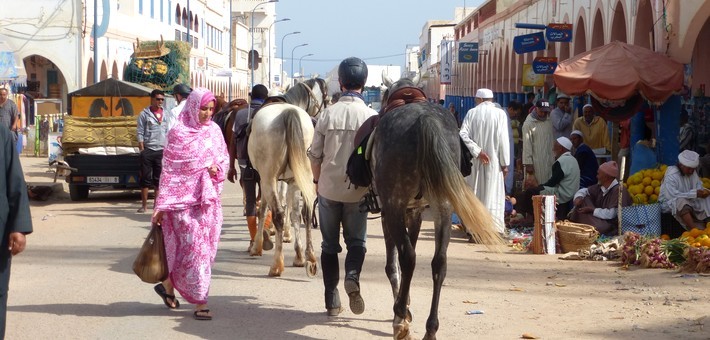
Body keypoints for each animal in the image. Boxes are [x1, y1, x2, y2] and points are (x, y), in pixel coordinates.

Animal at [249, 78, 330, 278]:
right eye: (326, 98)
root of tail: (288, 113)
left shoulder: (265, 178)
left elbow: (264, 209)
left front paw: (258, 245)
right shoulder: (293, 181)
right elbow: (294, 214)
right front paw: (299, 255)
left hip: (269, 178)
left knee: (278, 213)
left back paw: (276, 264)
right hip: (304, 175)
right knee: (307, 212)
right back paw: (310, 257)